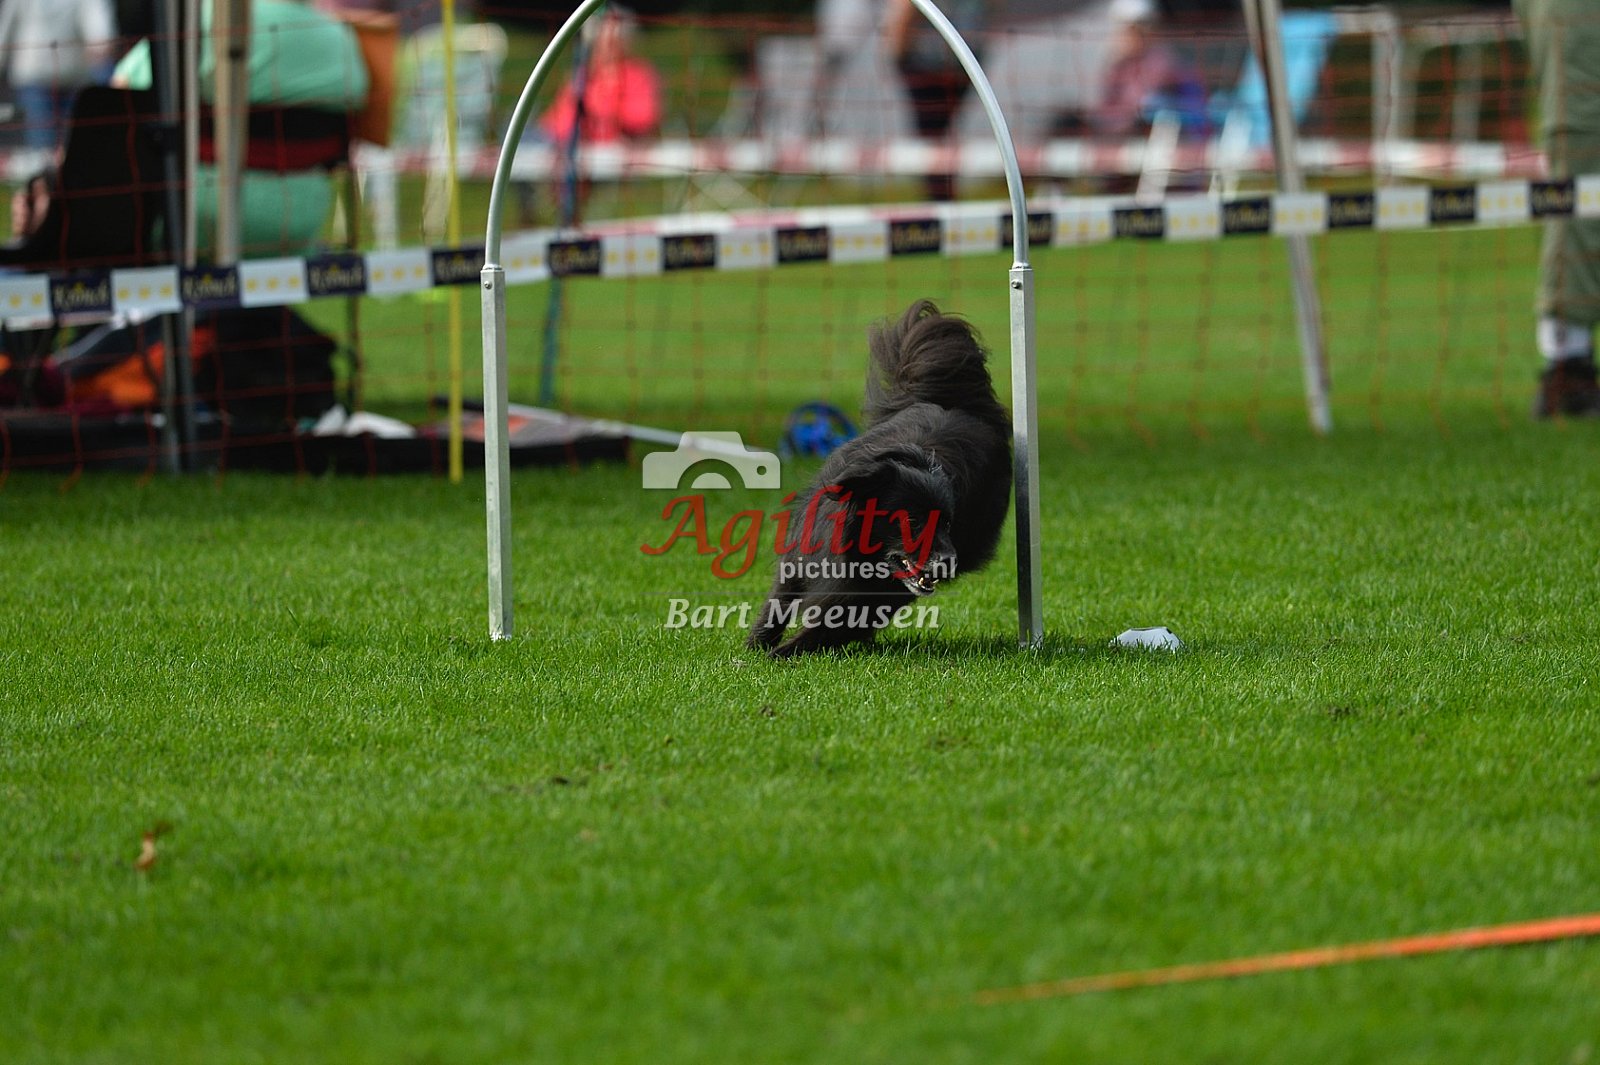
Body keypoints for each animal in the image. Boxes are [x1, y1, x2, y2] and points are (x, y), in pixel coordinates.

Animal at [748, 299, 1012, 657]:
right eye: (912, 522)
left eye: (946, 523)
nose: (949, 562)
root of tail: (953, 402)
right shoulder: (800, 558)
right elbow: (777, 602)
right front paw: (753, 648)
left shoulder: (869, 598)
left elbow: (824, 628)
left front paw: (776, 656)